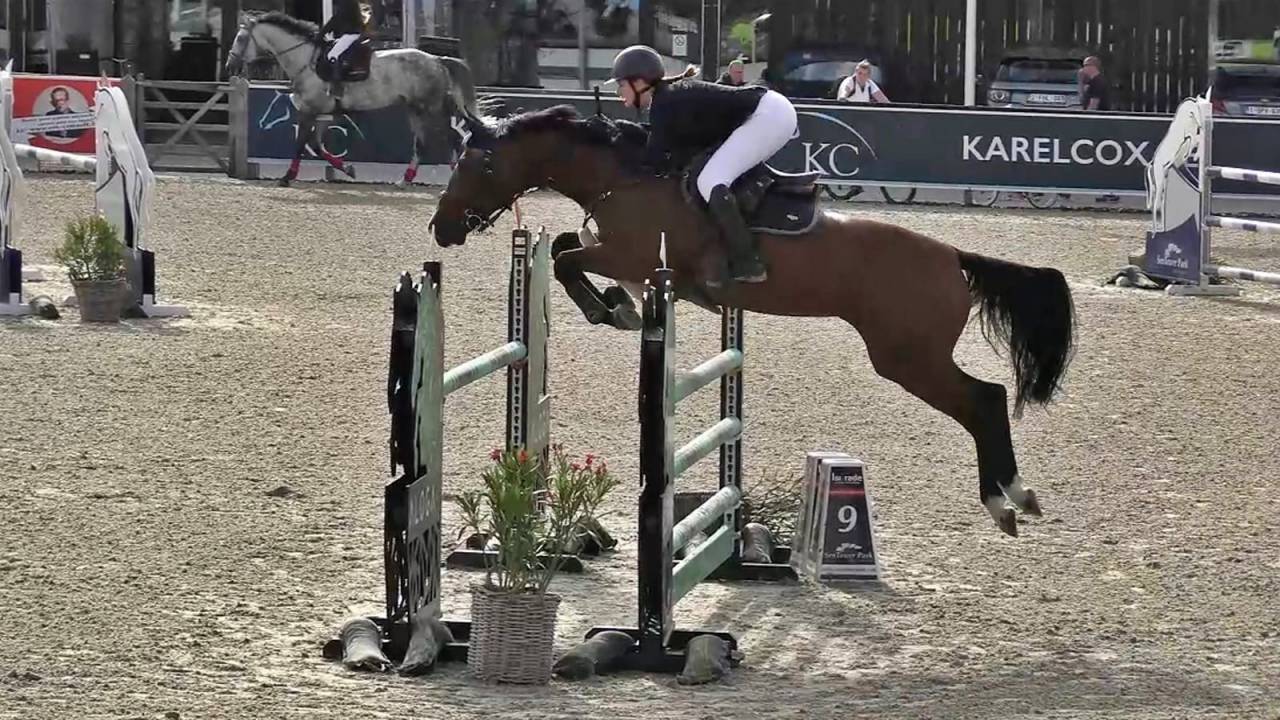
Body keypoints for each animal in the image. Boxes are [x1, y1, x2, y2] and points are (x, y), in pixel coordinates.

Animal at [224, 12, 482, 187]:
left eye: (241, 39)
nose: (230, 66)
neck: (306, 62)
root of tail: (436, 60)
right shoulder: (324, 114)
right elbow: (317, 146)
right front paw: (348, 169)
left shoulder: (309, 111)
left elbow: (301, 144)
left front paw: (287, 177)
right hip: (415, 109)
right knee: (422, 144)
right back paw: (405, 180)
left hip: (431, 108)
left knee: (450, 139)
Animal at [428, 105, 1078, 538]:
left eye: (476, 164)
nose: (441, 229)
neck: (625, 176)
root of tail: (953, 258)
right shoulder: (620, 253)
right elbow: (566, 245)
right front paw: (620, 306)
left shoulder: (629, 254)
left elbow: (567, 258)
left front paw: (608, 308)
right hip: (911, 356)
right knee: (986, 399)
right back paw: (1012, 497)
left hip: (907, 357)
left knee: (985, 400)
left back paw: (1007, 500)